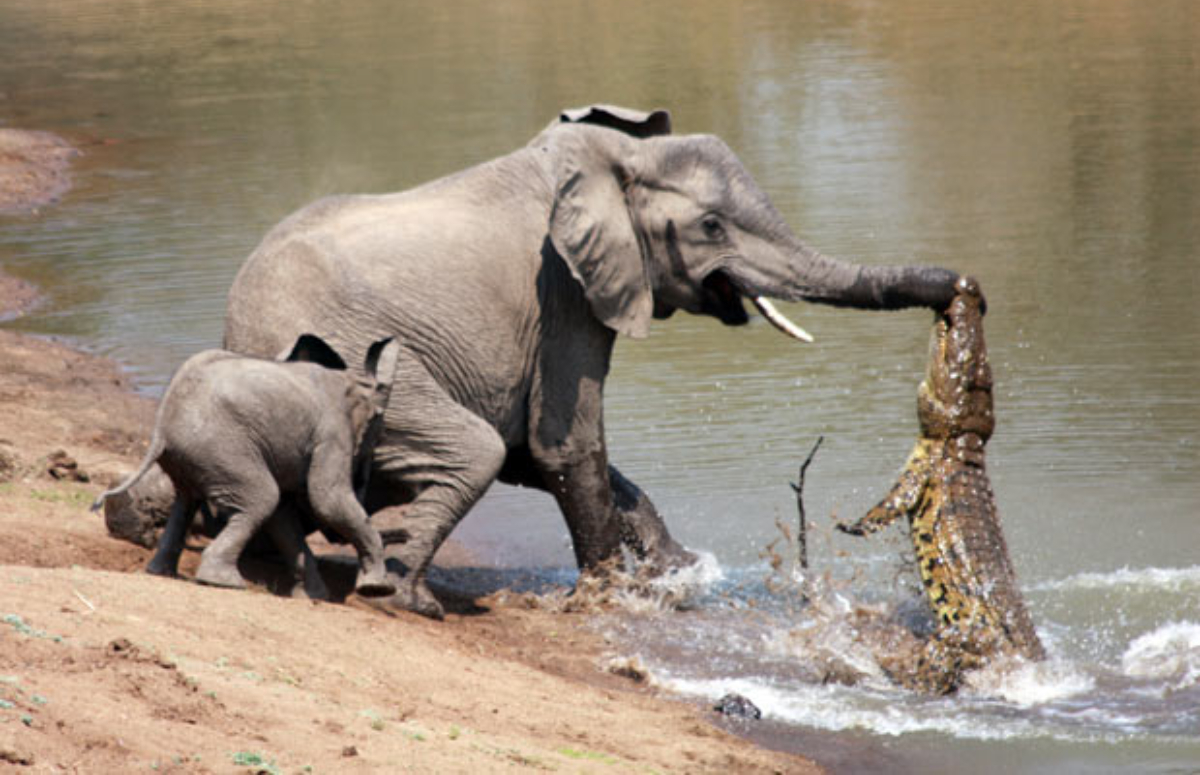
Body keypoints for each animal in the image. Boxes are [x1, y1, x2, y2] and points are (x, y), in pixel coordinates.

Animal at [92, 334, 401, 598]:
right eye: (379, 429)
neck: (353, 380)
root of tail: (161, 426)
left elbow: (284, 517)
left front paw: (313, 597)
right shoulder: (332, 435)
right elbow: (326, 500)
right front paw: (378, 589)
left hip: (195, 455)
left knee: (187, 501)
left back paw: (162, 572)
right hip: (223, 447)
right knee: (261, 498)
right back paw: (223, 582)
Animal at [222, 104, 961, 619]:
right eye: (712, 228)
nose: (961, 289)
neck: (610, 160)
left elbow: (541, 452)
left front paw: (677, 572)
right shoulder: (564, 291)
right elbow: (563, 444)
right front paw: (613, 596)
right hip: (353, 363)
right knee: (474, 449)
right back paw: (409, 599)